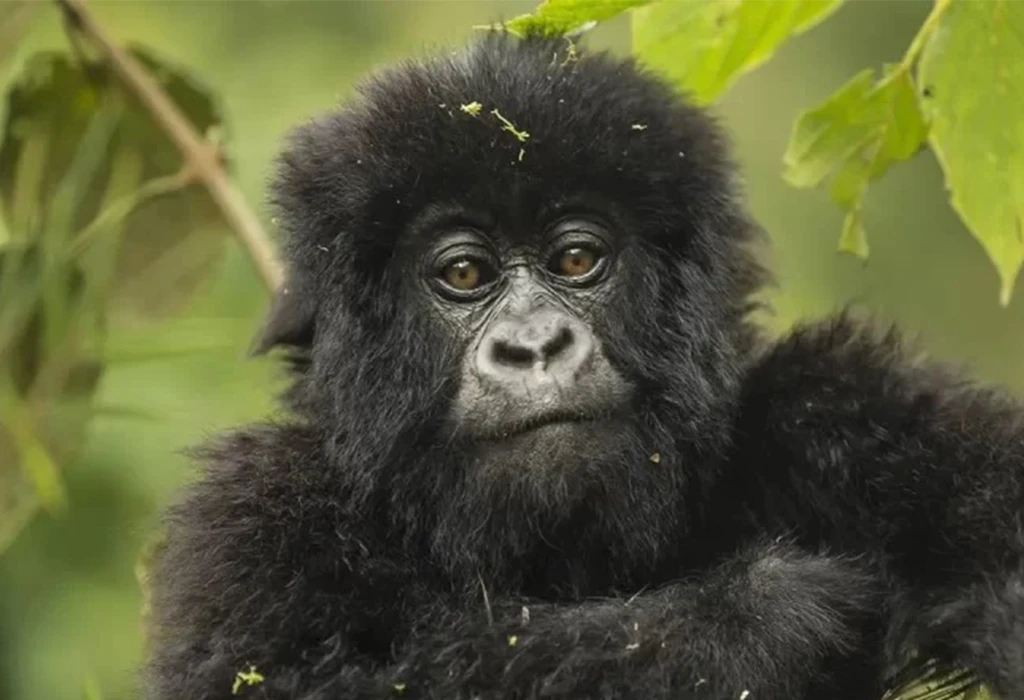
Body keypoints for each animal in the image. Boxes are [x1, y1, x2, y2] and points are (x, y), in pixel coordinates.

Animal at [144, 32, 1024, 700]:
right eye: (463, 273)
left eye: (575, 258)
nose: (535, 344)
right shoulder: (250, 521)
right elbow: (307, 679)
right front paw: (760, 614)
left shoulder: (849, 406)